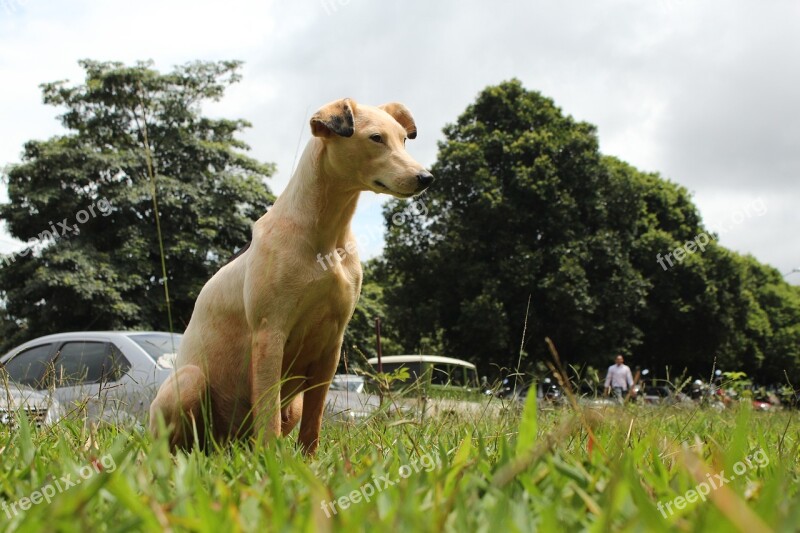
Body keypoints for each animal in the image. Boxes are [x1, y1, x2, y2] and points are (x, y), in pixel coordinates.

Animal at [151, 98, 434, 454]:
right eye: (375, 138)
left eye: (404, 139)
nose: (426, 177)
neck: (326, 235)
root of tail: (226, 443)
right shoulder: (270, 335)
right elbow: (268, 413)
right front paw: (271, 462)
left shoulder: (331, 345)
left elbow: (314, 422)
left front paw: (310, 463)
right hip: (190, 381)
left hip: (288, 404)